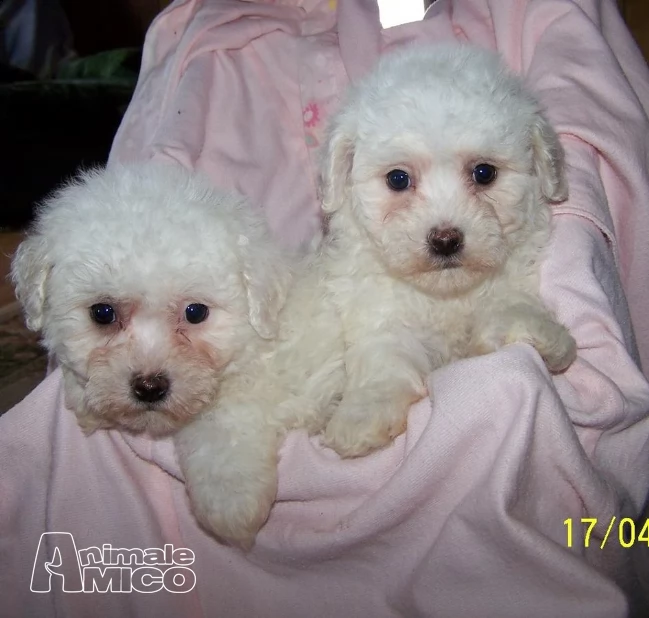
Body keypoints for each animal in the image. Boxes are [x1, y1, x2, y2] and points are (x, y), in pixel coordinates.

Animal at [177, 43, 576, 548]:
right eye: (398, 180)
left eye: (484, 173)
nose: (445, 239)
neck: (441, 294)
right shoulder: (375, 311)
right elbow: (385, 359)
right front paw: (362, 416)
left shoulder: (507, 280)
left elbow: (510, 306)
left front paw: (540, 333)